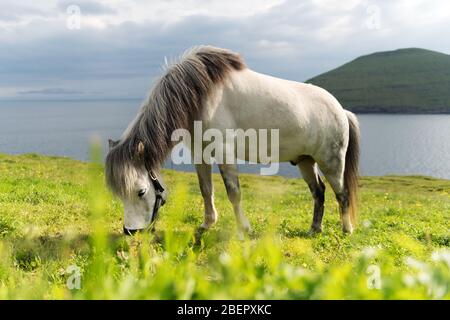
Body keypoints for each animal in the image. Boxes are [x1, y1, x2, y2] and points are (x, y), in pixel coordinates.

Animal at [103, 45, 360, 235]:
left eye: (140, 192)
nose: (130, 231)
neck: (201, 94)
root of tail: (341, 110)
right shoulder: (200, 153)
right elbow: (206, 189)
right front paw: (207, 224)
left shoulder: (224, 153)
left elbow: (233, 192)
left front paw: (243, 229)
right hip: (306, 160)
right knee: (319, 192)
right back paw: (314, 229)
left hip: (331, 162)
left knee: (341, 192)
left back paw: (347, 229)